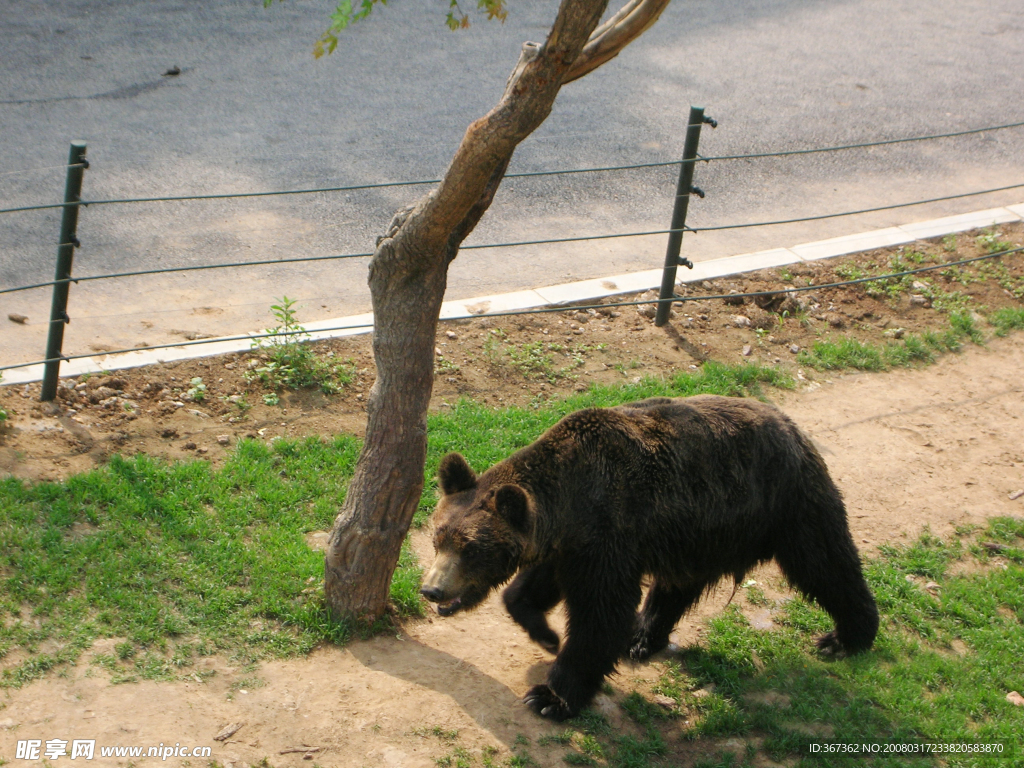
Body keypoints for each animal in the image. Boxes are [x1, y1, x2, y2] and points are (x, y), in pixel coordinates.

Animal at [419, 397, 876, 720]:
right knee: (677, 585)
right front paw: (545, 633)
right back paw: (641, 637)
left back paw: (847, 637)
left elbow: (600, 614)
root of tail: (792, 425)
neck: (570, 501)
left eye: (470, 548)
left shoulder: (609, 530)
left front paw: (551, 696)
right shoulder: (573, 542)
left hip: (786, 503)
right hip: (697, 530)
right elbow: (535, 586)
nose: (432, 589)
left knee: (825, 563)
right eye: (439, 538)